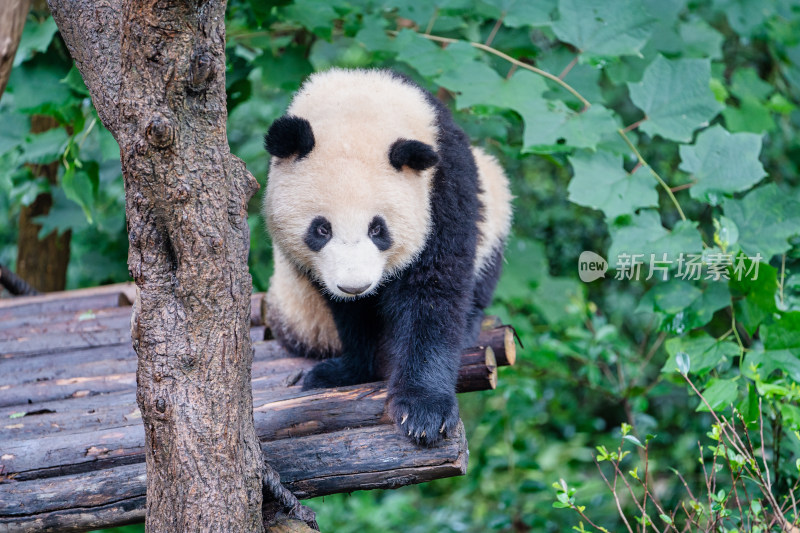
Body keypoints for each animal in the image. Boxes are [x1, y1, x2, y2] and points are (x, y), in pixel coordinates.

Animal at [262, 68, 512, 446]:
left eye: (378, 229)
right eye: (321, 229)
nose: (355, 286)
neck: (362, 103)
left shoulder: (444, 186)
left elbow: (434, 288)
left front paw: (424, 411)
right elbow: (349, 314)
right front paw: (349, 370)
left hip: (494, 201)